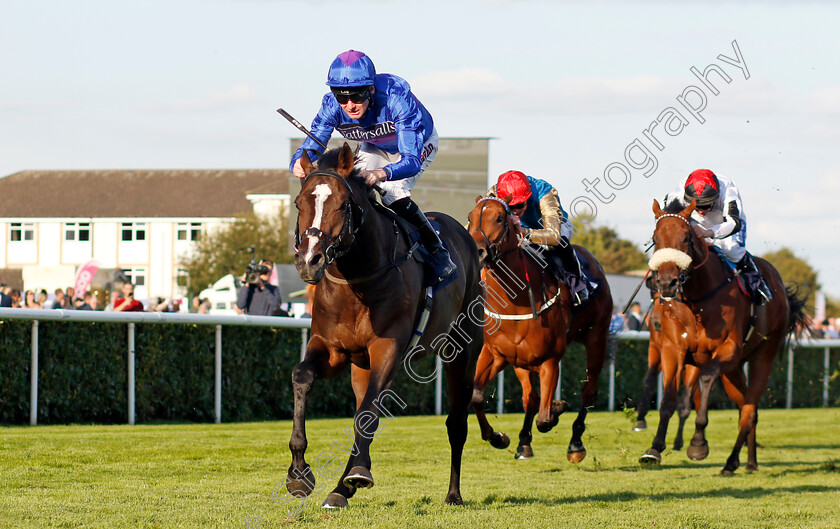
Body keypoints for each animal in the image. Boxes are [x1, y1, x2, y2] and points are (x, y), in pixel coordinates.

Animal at [288, 142, 482, 506]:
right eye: (299, 203)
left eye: (343, 203)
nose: (309, 261)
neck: (357, 278)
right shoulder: (331, 348)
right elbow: (303, 377)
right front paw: (298, 473)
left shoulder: (388, 346)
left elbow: (367, 413)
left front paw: (357, 474)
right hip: (361, 365)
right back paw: (341, 488)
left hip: (462, 351)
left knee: (456, 424)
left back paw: (453, 494)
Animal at [466, 196, 612, 460]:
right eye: (470, 217)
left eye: (500, 218)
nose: (478, 251)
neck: (516, 301)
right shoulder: (496, 354)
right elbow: (477, 397)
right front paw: (498, 437)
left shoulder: (550, 360)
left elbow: (544, 419)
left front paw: (557, 407)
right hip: (521, 362)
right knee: (531, 399)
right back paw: (524, 441)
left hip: (597, 337)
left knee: (589, 390)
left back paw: (576, 443)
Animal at [644, 199, 808, 474]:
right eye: (655, 238)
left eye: (686, 237)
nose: (667, 283)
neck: (698, 299)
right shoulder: (672, 349)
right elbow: (668, 399)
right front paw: (654, 448)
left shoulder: (727, 349)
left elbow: (707, 377)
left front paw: (698, 444)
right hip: (734, 369)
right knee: (745, 405)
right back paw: (748, 461)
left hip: (763, 354)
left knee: (750, 409)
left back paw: (732, 461)